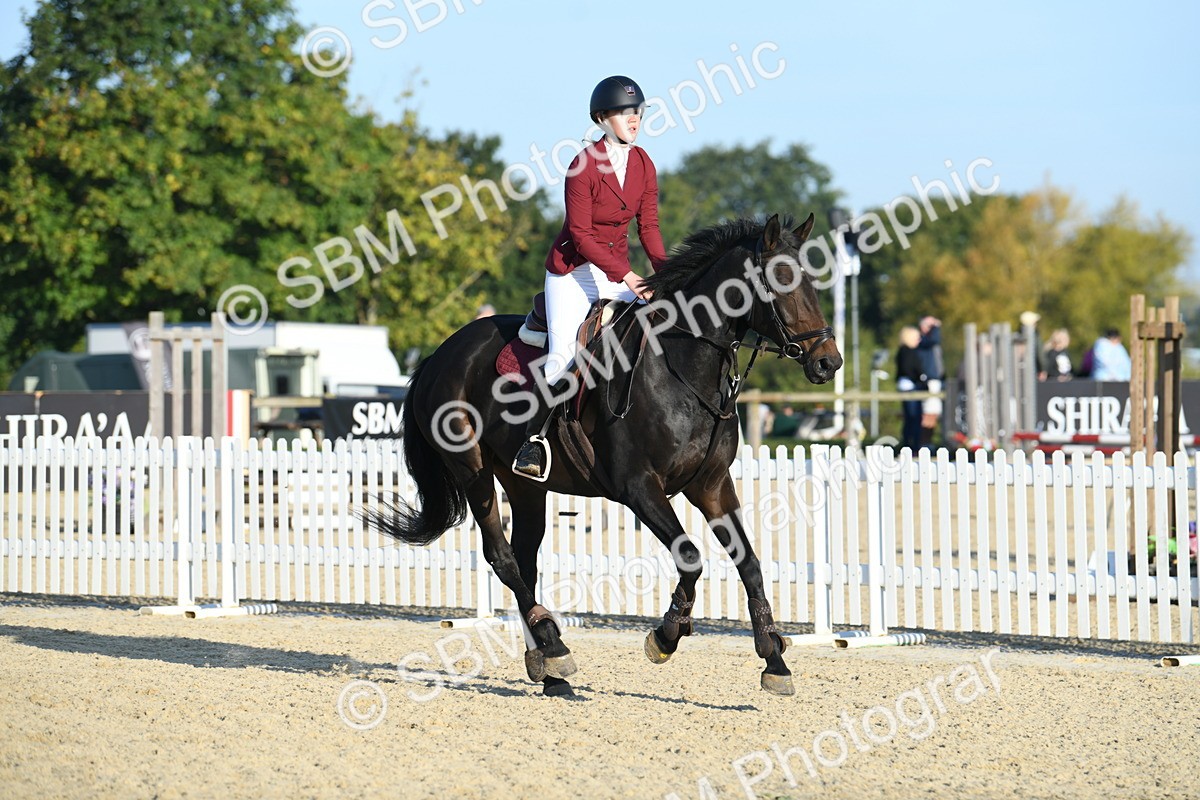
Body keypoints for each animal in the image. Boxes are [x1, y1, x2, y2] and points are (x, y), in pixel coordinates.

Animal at [364, 213, 843, 697]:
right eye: (781, 281)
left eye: (814, 284)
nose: (829, 363)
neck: (684, 364)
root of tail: (440, 354)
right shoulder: (639, 488)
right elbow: (690, 557)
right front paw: (666, 635)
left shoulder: (711, 486)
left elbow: (751, 564)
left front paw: (774, 660)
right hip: (472, 470)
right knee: (502, 556)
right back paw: (554, 646)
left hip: (524, 484)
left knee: (524, 559)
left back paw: (546, 666)